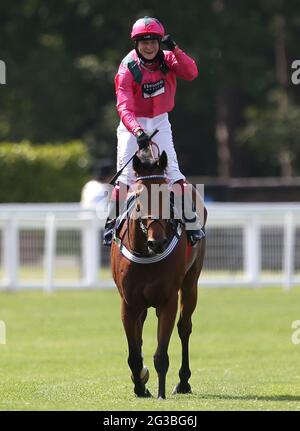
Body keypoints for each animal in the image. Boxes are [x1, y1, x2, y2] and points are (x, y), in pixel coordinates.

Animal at [110, 146, 206, 402]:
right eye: (138, 200)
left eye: (168, 197)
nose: (158, 242)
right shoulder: (128, 302)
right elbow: (134, 353)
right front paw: (140, 384)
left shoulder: (168, 300)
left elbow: (161, 354)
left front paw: (161, 392)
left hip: (191, 282)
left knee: (185, 327)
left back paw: (183, 381)